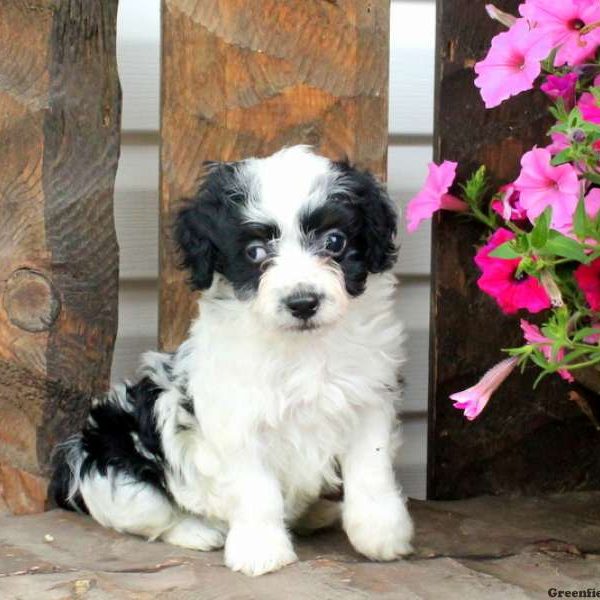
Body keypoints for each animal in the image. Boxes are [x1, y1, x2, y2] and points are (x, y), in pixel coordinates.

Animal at [50, 144, 412, 576]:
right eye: (254, 252)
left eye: (335, 241)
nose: (303, 302)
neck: (302, 348)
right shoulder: (237, 420)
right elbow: (256, 490)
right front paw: (260, 550)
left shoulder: (368, 399)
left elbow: (371, 470)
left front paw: (380, 533)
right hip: (117, 472)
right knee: (151, 516)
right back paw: (197, 532)